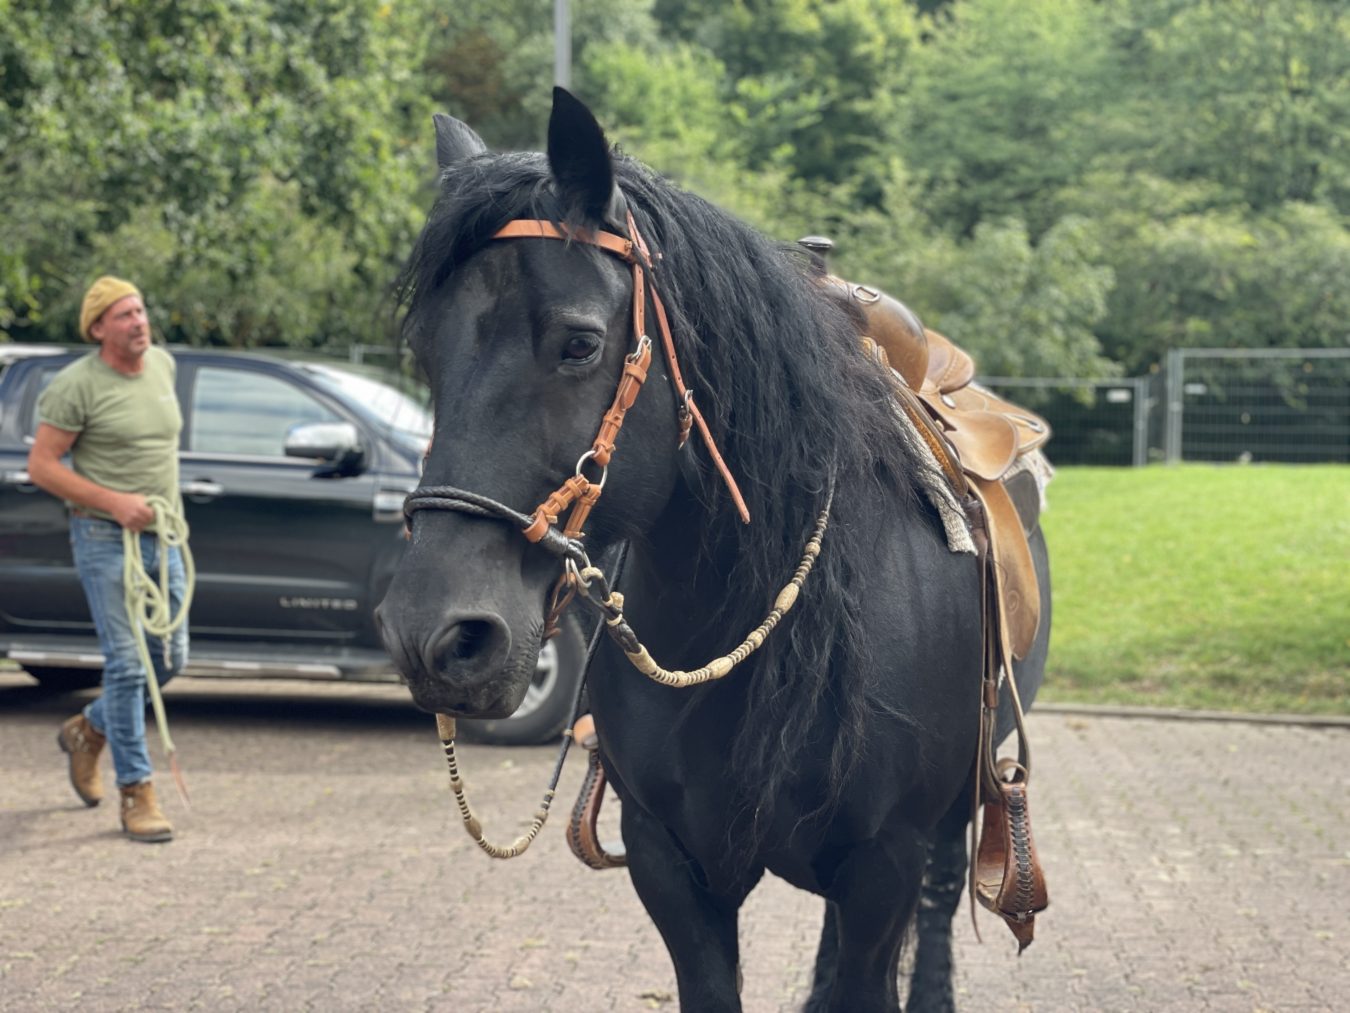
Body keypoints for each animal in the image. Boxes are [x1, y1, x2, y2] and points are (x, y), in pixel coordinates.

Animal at [375, 91, 1047, 1010]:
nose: (434, 634)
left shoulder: (884, 862)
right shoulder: (671, 863)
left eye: (580, 342)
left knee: (944, 898)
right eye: (425, 353)